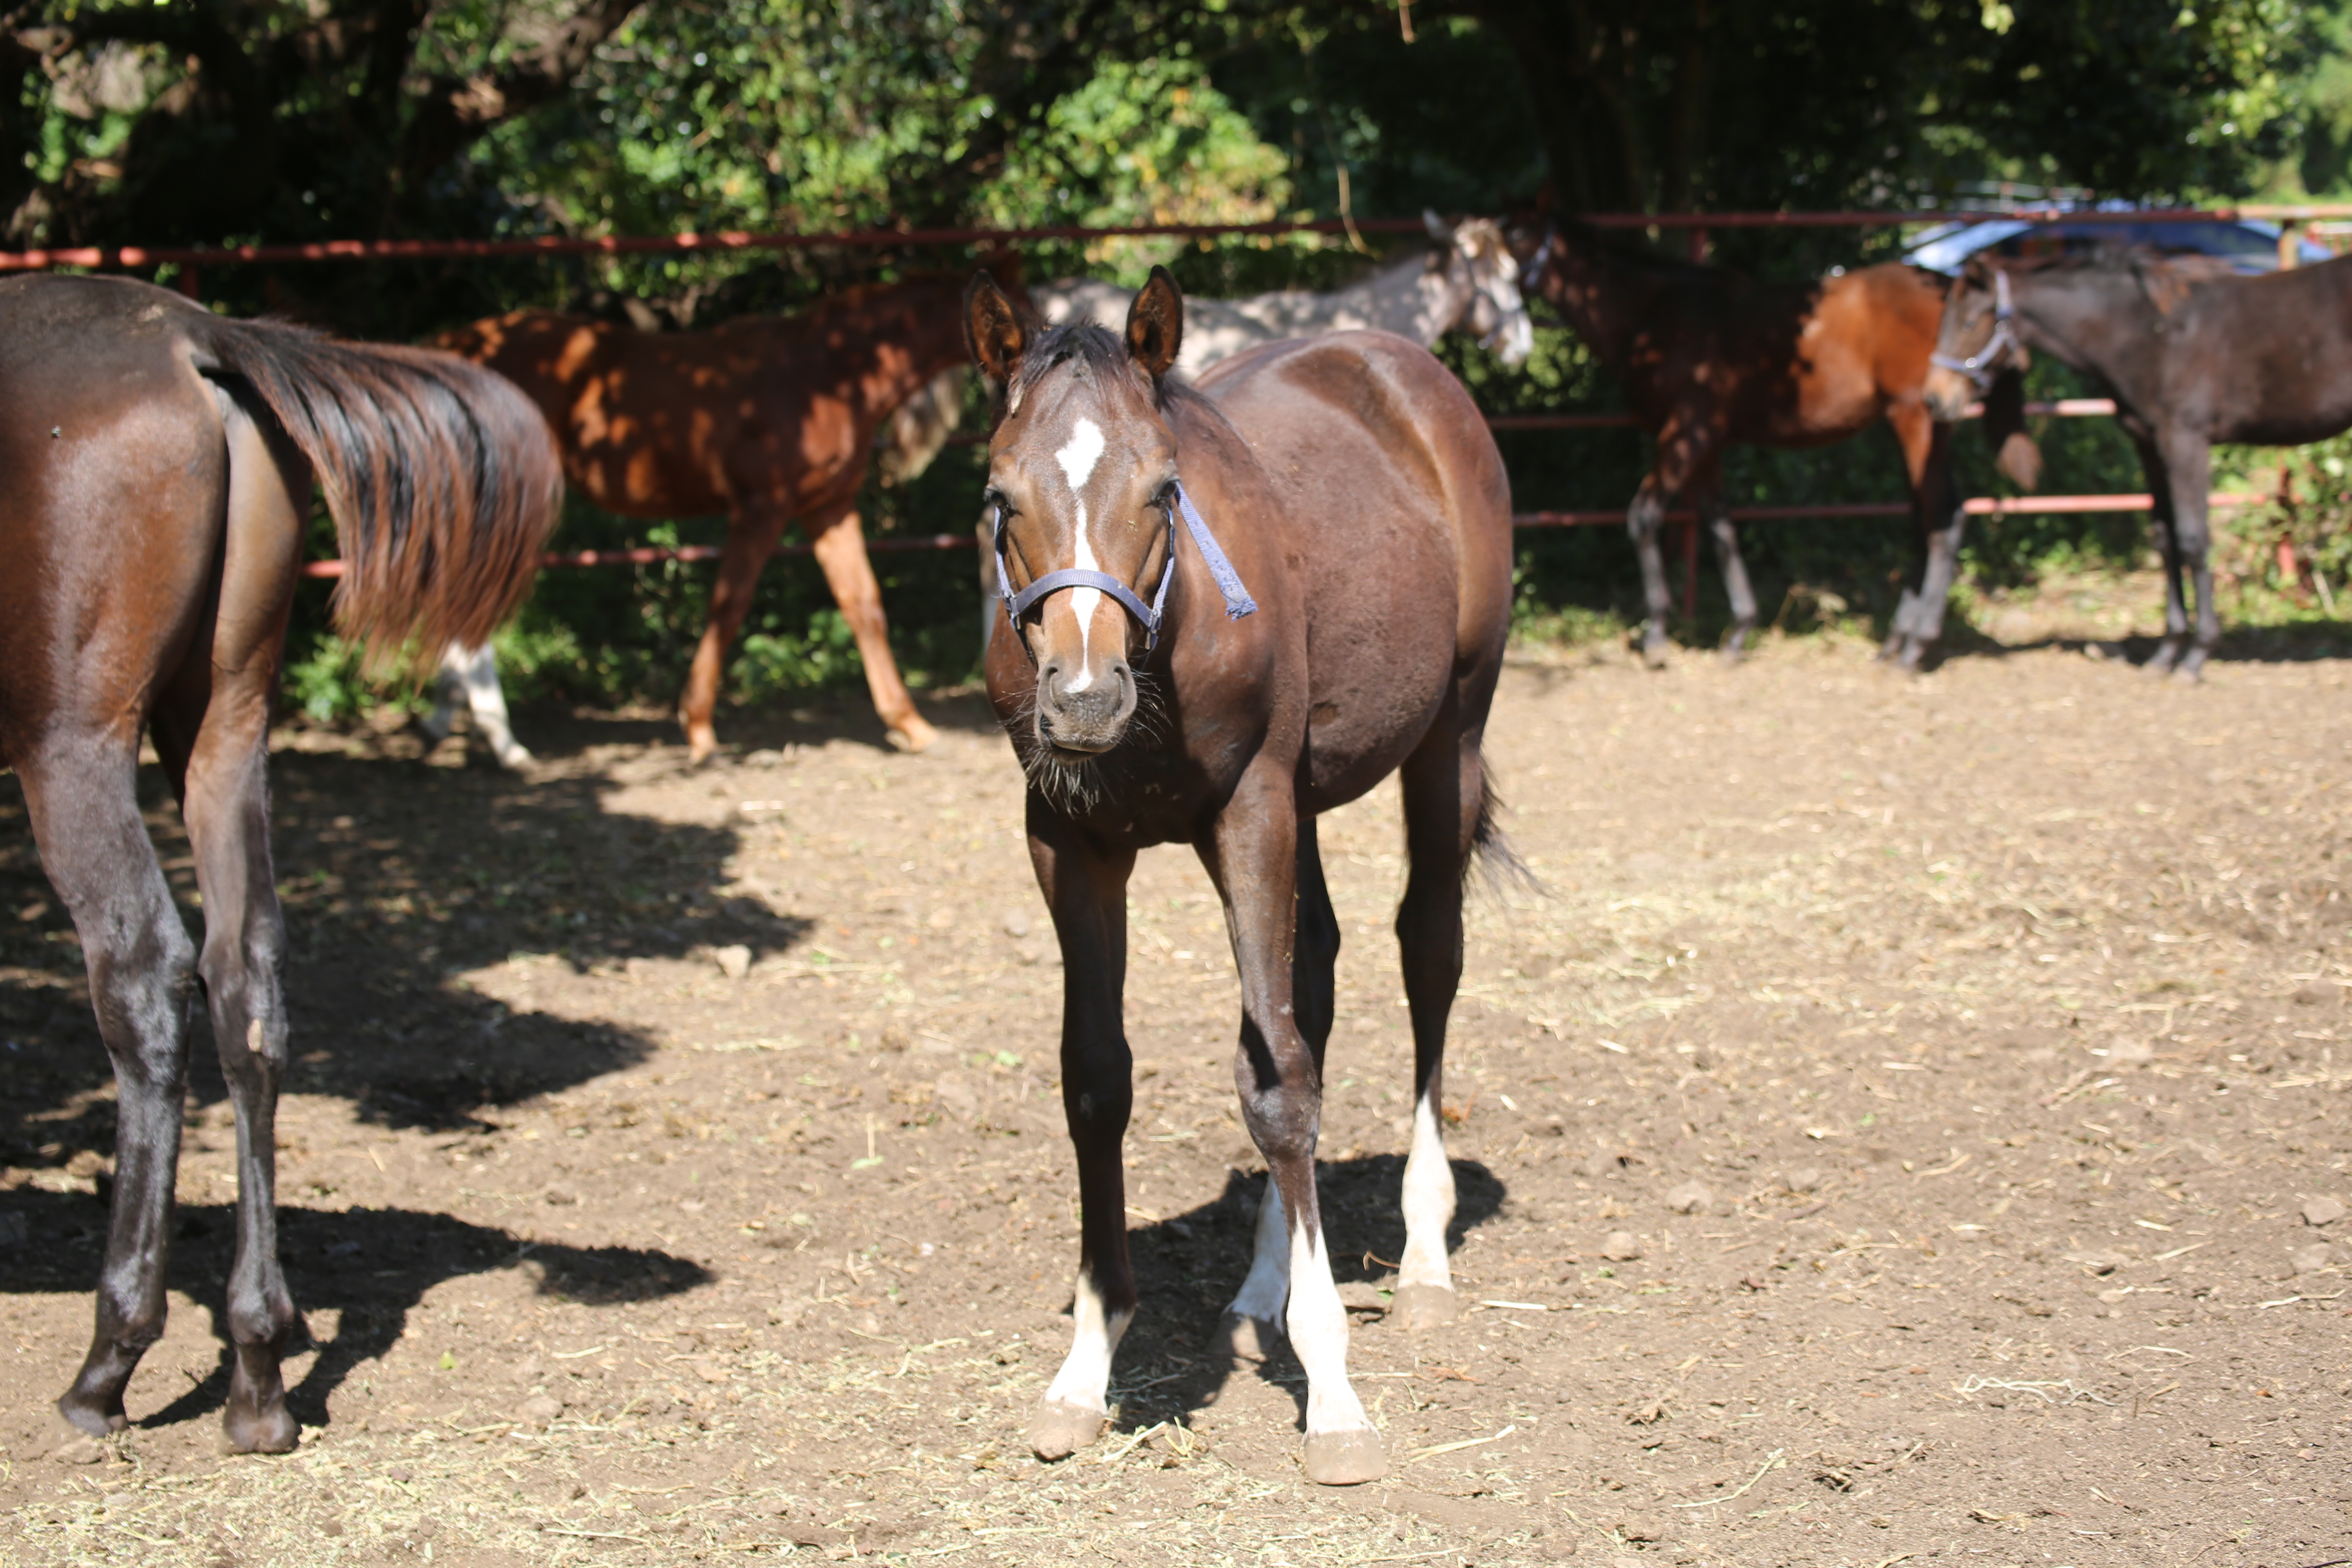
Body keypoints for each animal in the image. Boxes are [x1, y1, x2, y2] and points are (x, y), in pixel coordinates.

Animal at [0, 276, 559, 1457]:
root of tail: (191, 340)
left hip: (72, 746)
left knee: (147, 977)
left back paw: (111, 1363)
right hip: (222, 728)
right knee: (246, 980)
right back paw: (258, 1368)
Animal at [440, 262, 1020, 762]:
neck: (827, 375)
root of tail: (453, 346)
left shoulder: (827, 508)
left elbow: (864, 605)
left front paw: (911, 724)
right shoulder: (762, 507)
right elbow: (729, 605)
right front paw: (698, 728)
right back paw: (500, 743)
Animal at [964, 267, 1515, 1486]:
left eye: (1164, 489)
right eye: (1000, 496)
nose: (1082, 697)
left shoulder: (1250, 809)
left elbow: (1275, 1084)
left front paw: (1336, 1399)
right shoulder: (1067, 840)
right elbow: (1099, 1080)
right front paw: (1084, 1370)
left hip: (1449, 733)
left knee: (1429, 953)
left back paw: (1424, 1252)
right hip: (1307, 802)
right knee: (1314, 982)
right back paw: (1263, 1284)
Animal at [1505, 220, 2041, 663]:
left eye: (1509, 237)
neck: (1655, 315)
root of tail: (1943, 283)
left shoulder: (1687, 431)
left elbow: (1645, 516)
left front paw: (1657, 633)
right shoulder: (1707, 442)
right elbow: (1719, 527)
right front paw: (1739, 629)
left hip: (1917, 418)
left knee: (1944, 515)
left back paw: (1915, 645)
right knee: (1924, 519)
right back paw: (1895, 640)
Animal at [1919, 248, 2352, 677]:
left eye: (1968, 322)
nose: (1935, 399)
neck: (2150, 334)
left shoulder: (2185, 441)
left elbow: (2194, 540)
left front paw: (2198, 654)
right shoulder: (2150, 445)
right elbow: (2166, 540)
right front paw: (2168, 651)